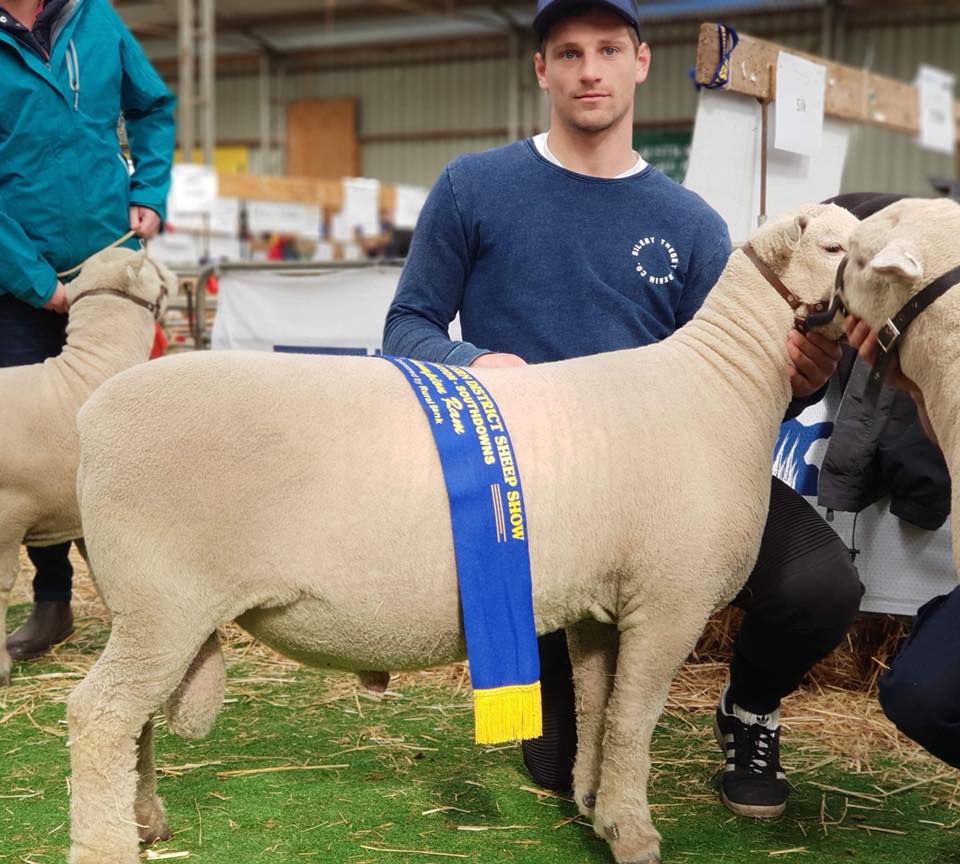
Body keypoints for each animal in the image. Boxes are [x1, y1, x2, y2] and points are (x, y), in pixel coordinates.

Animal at [67, 204, 856, 864]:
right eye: (835, 246)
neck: (721, 380)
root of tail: (94, 415)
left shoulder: (605, 604)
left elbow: (599, 708)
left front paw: (593, 803)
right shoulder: (669, 599)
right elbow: (635, 720)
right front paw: (633, 832)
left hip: (150, 608)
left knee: (133, 719)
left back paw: (145, 821)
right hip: (162, 597)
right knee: (100, 716)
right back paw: (107, 846)